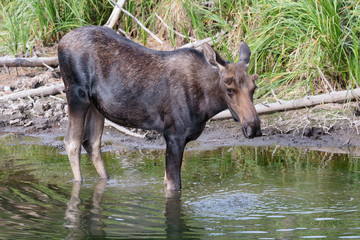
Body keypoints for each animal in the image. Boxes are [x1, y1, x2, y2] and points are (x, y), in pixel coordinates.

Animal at [58, 25, 262, 191]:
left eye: (254, 87)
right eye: (229, 89)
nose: (253, 127)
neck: (207, 105)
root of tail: (60, 42)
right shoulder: (173, 135)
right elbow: (174, 186)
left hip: (97, 106)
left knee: (91, 142)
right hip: (76, 94)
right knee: (72, 142)